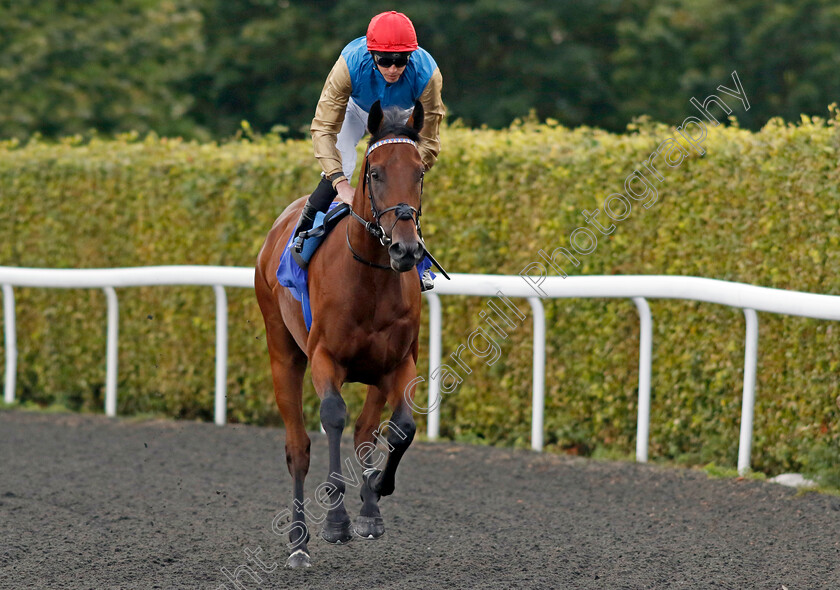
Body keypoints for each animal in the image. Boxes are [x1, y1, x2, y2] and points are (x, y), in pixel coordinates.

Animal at [254, 100, 426, 568]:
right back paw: (298, 541)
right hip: (283, 354)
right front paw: (335, 521)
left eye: (420, 172)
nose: (406, 249)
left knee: (366, 433)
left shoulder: (399, 362)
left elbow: (400, 428)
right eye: (376, 172)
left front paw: (377, 492)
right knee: (298, 448)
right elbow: (332, 416)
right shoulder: (324, 358)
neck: (370, 276)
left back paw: (368, 504)